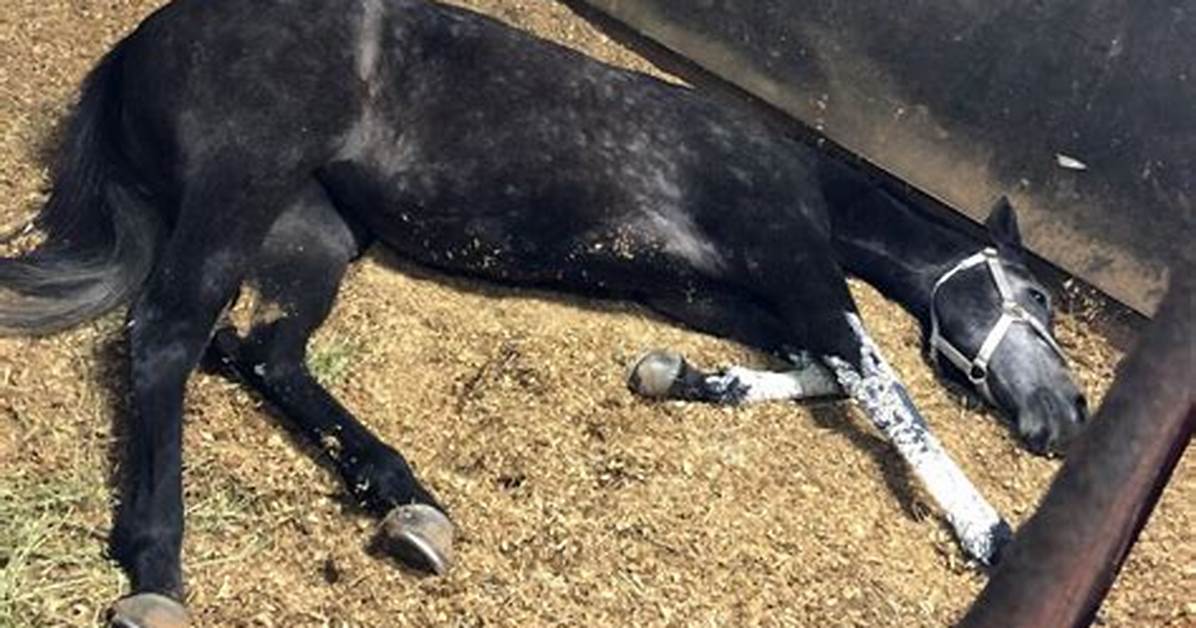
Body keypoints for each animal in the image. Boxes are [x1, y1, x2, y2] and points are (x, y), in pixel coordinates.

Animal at [0, 0, 1087, 625]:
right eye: (1032, 295)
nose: (1067, 417)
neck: (796, 175)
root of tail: (135, 46)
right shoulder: (796, 267)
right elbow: (883, 387)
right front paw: (992, 535)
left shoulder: (697, 291)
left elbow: (816, 367)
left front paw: (682, 378)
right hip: (242, 184)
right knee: (168, 335)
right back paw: (156, 573)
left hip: (312, 235)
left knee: (262, 351)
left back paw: (406, 501)